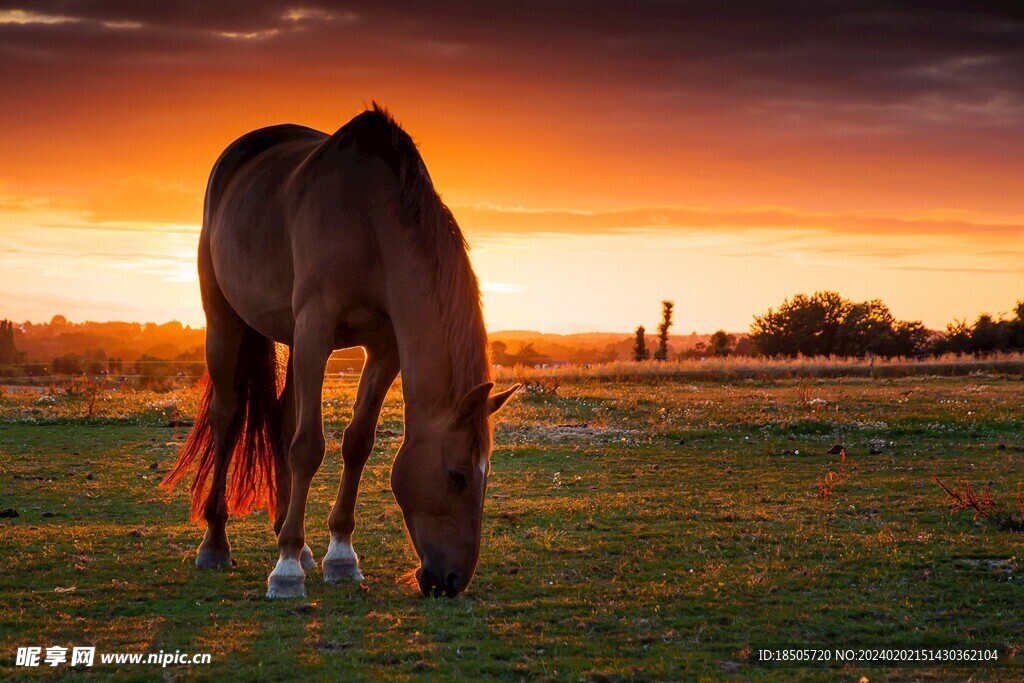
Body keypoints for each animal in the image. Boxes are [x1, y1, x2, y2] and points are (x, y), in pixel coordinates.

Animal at [164, 102, 524, 598]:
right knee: (227, 415)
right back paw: (217, 544)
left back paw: (294, 540)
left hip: (292, 338)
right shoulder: (316, 329)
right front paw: (286, 571)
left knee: (281, 418)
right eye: (457, 476)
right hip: (226, 320)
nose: (451, 581)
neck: (370, 222)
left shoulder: (384, 348)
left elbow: (357, 442)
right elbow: (308, 447)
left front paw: (339, 556)